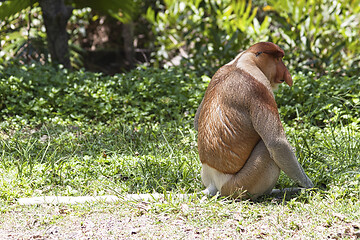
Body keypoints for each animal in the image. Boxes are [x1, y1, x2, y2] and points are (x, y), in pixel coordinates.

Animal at [193, 42, 314, 200]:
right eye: (278, 59)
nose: (286, 72)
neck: (243, 60)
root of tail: (214, 183)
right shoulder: (260, 88)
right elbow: (276, 143)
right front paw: (310, 186)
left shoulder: (217, 73)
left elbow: (197, 121)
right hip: (241, 184)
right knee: (266, 148)